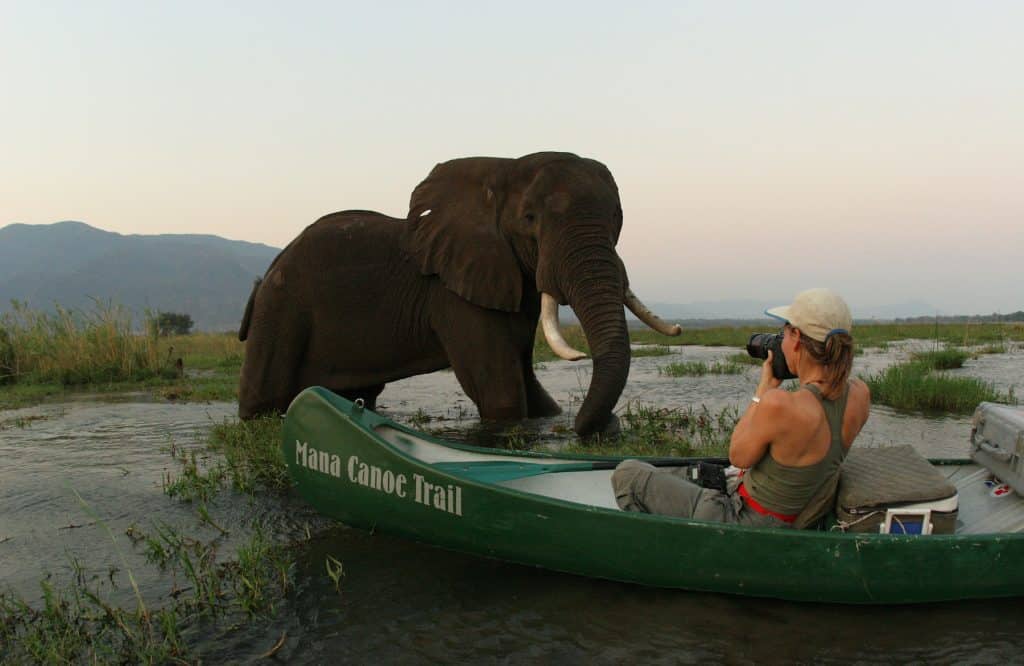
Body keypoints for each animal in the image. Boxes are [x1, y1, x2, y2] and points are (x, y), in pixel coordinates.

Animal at [235, 152, 675, 438]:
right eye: (530, 219)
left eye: (617, 217)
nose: (597, 428)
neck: (502, 171)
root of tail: (267, 272)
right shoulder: (452, 293)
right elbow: (501, 390)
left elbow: (527, 381)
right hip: (280, 310)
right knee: (264, 398)